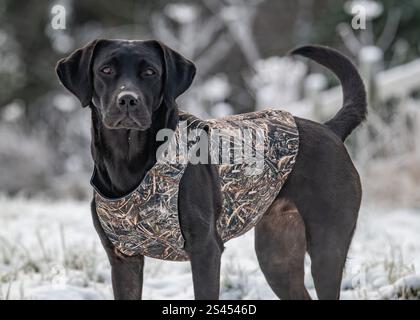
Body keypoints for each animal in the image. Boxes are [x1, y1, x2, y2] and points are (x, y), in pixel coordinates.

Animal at [55, 40, 364, 300]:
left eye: (150, 72)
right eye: (105, 70)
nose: (128, 99)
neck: (128, 159)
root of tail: (329, 129)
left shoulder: (205, 250)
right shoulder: (122, 258)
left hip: (327, 246)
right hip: (276, 255)